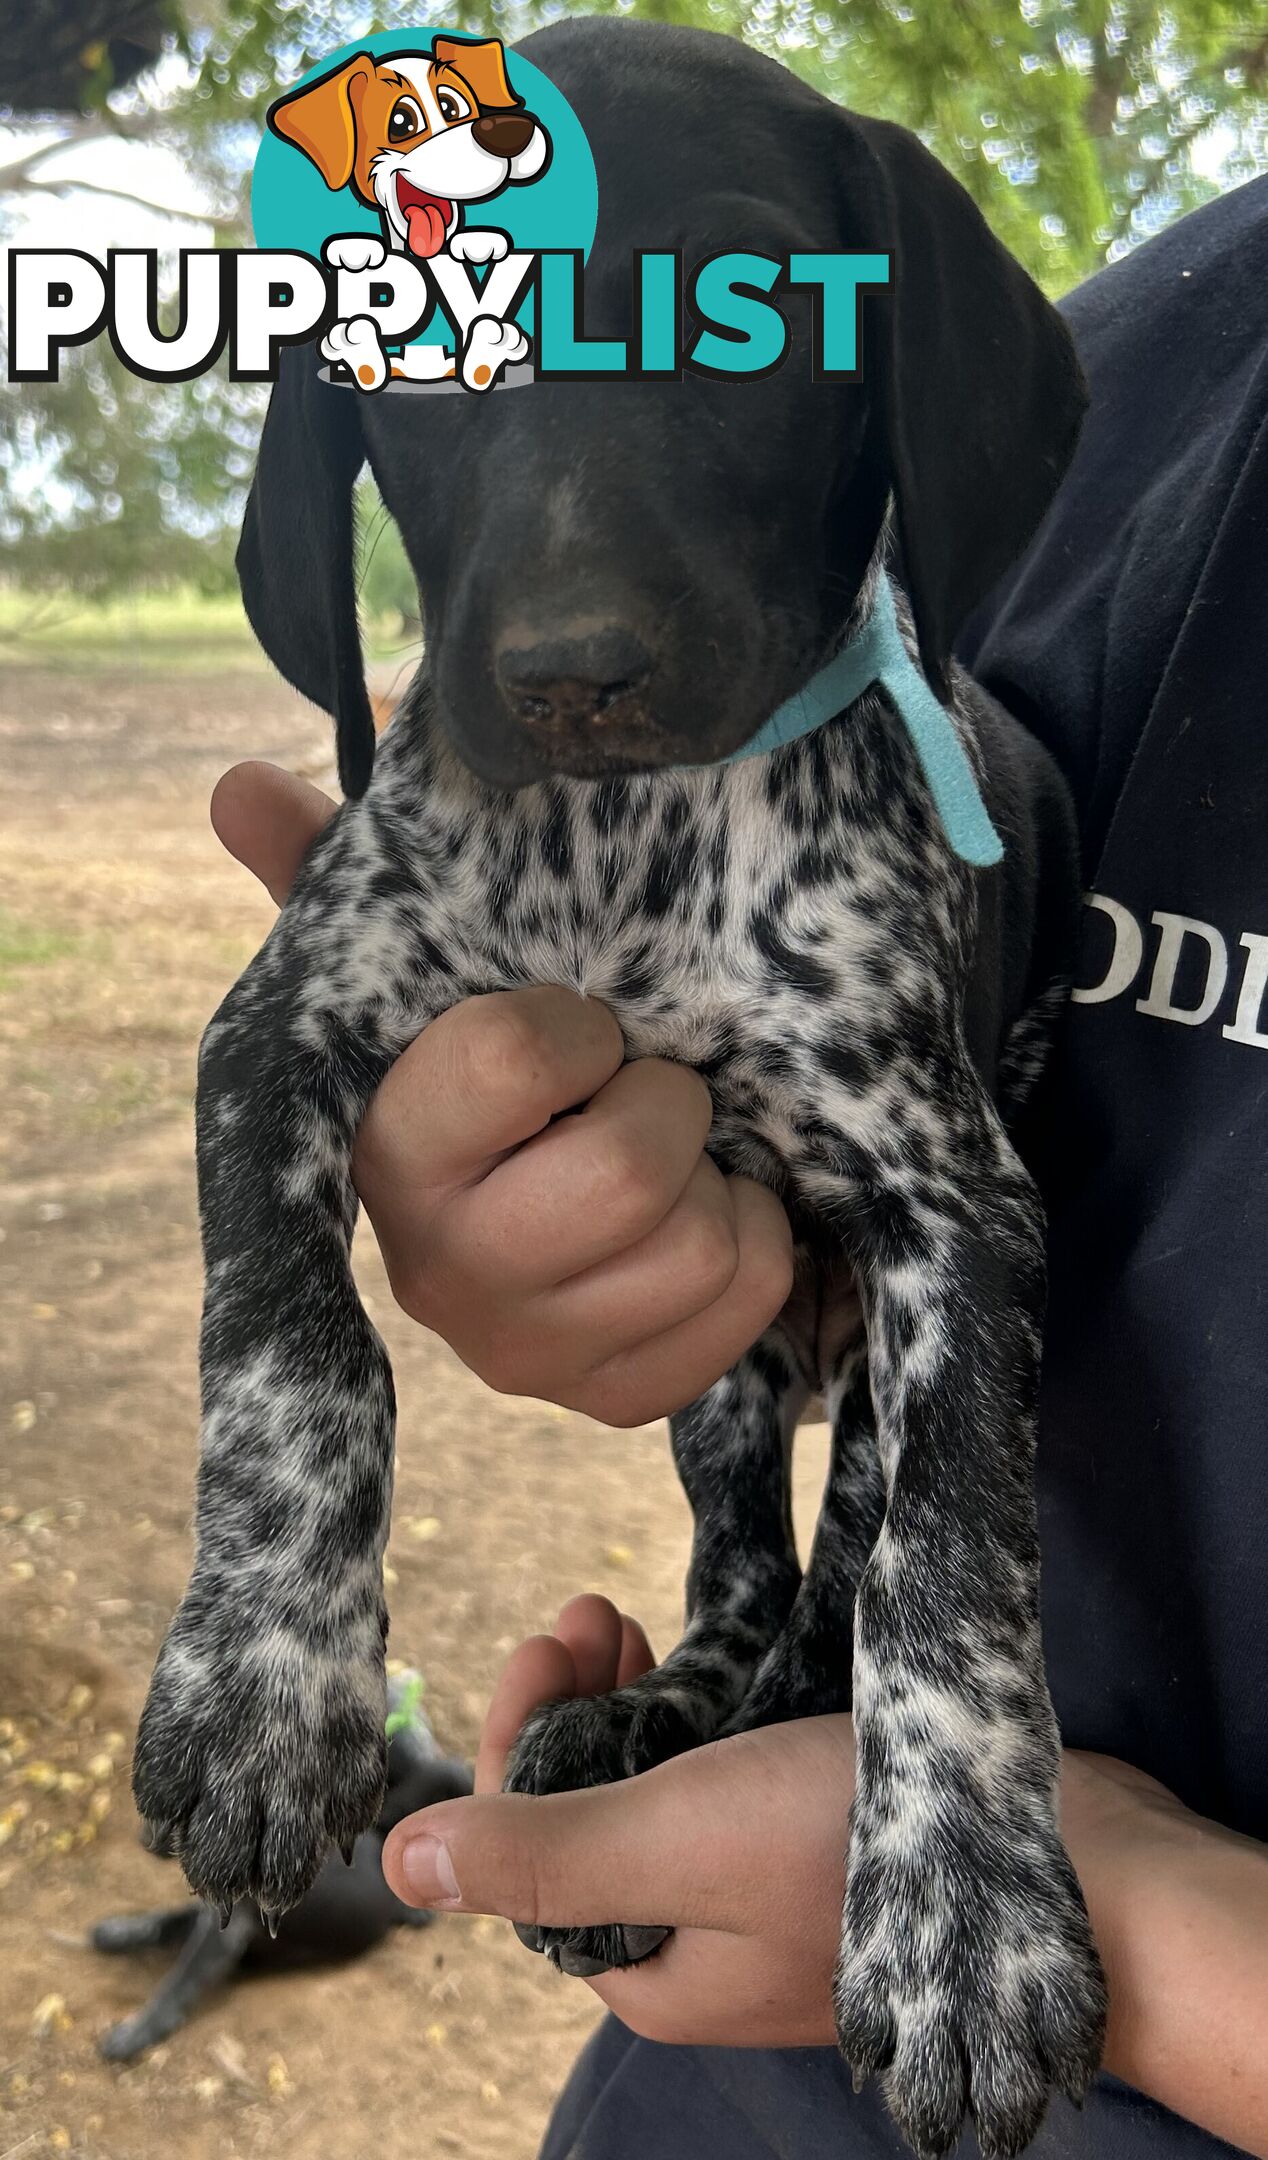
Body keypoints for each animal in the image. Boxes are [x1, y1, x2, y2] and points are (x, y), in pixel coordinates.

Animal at [133, 21, 1114, 2160]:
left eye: (760, 311)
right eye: (419, 347)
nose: (572, 675)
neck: (617, 856)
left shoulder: (956, 1210)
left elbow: (948, 1566)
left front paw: (964, 1913)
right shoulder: (280, 1026)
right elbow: (293, 1348)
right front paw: (263, 1685)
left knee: (834, 1576)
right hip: (724, 1377)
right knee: (743, 1570)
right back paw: (650, 1712)